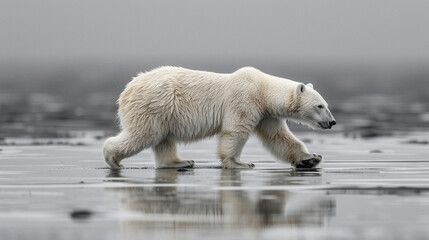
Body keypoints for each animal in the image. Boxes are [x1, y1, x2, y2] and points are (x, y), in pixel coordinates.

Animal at [103, 66, 334, 170]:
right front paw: (240, 163)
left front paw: (311, 158)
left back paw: (180, 161)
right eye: (320, 106)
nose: (332, 122)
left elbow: (279, 137)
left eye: (327, 105)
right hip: (155, 104)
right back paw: (113, 159)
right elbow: (235, 132)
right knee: (144, 134)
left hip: (163, 111)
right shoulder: (245, 100)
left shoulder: (266, 114)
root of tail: (128, 89)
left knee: (163, 140)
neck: (262, 90)